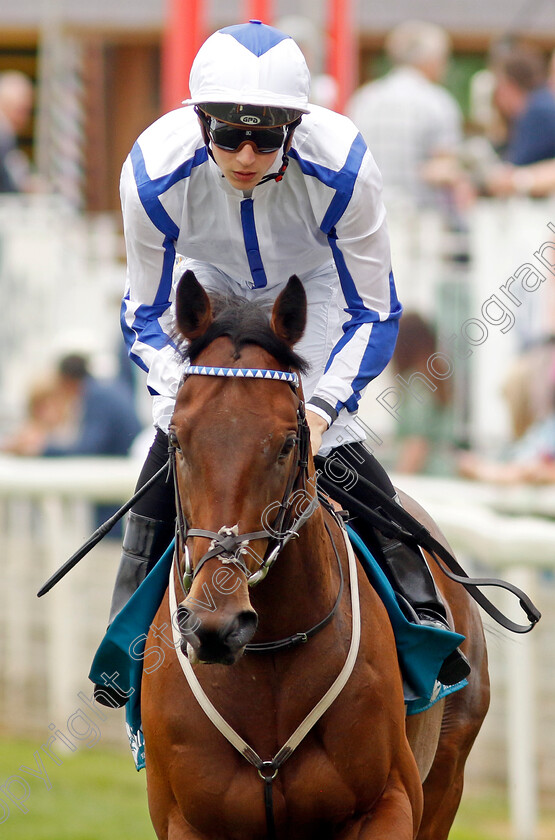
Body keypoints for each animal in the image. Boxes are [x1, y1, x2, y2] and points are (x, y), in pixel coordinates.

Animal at [140, 272, 490, 836]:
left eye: (286, 443)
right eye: (176, 440)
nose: (218, 624)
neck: (265, 662)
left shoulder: (389, 802)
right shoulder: (185, 819)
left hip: (449, 771)